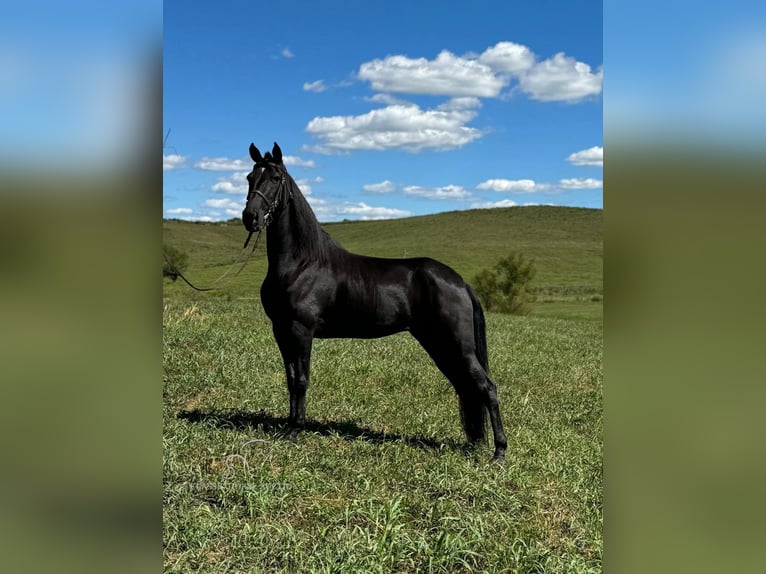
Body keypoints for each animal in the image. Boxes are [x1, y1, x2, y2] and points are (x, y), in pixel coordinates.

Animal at [243, 144, 508, 464]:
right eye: (249, 177)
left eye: (275, 177)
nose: (251, 217)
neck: (303, 263)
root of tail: (461, 282)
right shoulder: (282, 331)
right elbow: (291, 379)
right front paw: (290, 426)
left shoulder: (301, 331)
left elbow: (302, 380)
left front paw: (296, 430)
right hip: (440, 345)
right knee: (467, 387)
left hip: (457, 345)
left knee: (487, 387)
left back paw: (499, 451)